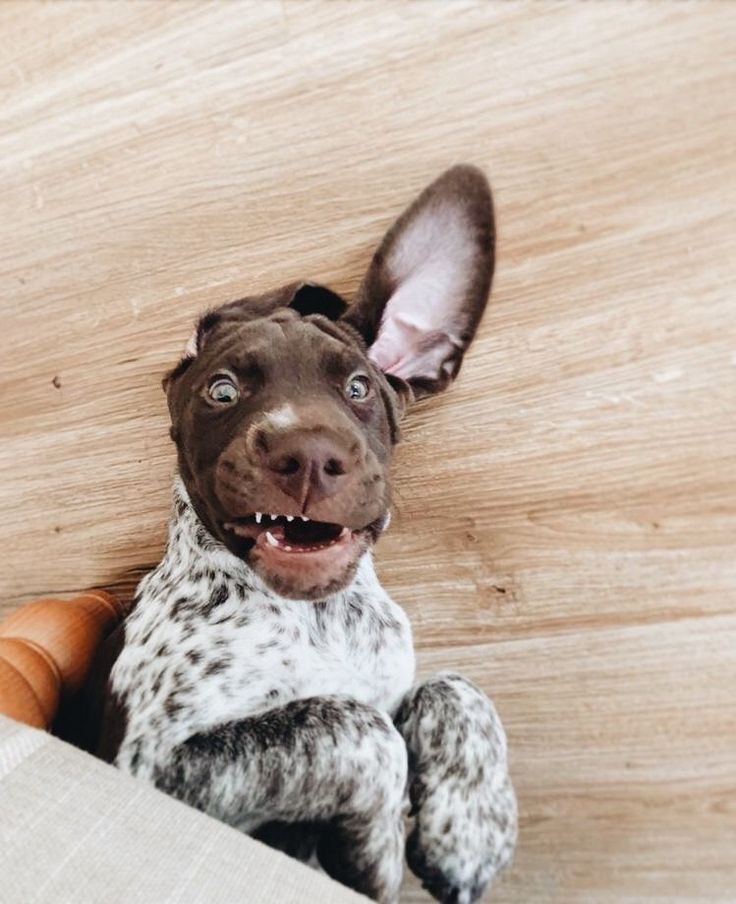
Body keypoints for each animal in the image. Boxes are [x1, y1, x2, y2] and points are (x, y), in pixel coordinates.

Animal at [100, 168, 516, 904]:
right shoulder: (150, 764)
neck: (317, 619)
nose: (309, 455)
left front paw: (470, 827)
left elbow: (453, 687)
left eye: (358, 388)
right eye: (222, 390)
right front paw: (375, 851)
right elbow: (353, 726)